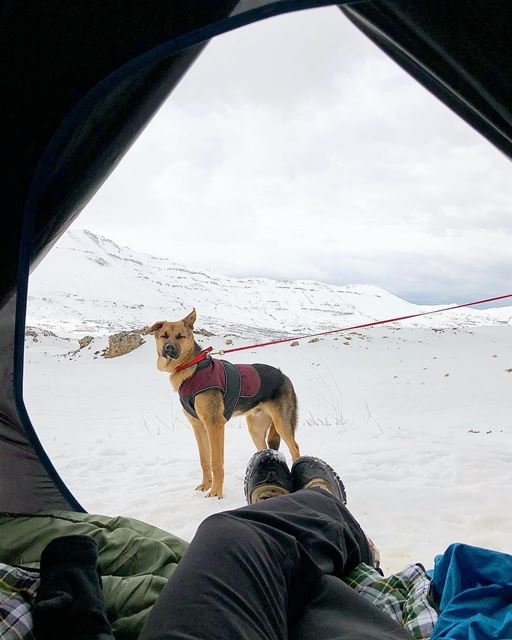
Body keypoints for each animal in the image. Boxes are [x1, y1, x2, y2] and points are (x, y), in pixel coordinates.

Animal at [148, 310, 300, 500]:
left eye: (180, 337)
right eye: (164, 336)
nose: (169, 348)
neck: (193, 368)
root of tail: (284, 376)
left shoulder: (214, 425)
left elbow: (216, 462)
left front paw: (215, 494)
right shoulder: (199, 426)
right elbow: (205, 460)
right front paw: (205, 486)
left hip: (281, 424)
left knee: (295, 447)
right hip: (255, 429)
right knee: (264, 449)